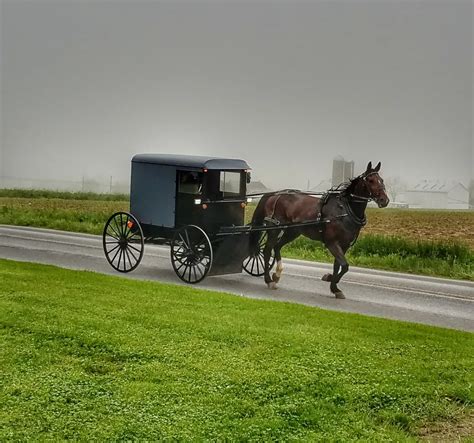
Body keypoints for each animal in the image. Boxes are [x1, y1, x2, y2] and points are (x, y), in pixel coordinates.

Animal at [248, 161, 388, 300]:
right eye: (370, 180)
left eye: (381, 180)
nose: (384, 200)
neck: (344, 210)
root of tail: (274, 194)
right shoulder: (332, 243)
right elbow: (344, 266)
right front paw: (331, 281)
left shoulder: (344, 245)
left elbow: (338, 266)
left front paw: (334, 286)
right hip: (274, 229)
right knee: (267, 251)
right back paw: (269, 280)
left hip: (292, 231)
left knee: (277, 246)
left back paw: (277, 274)